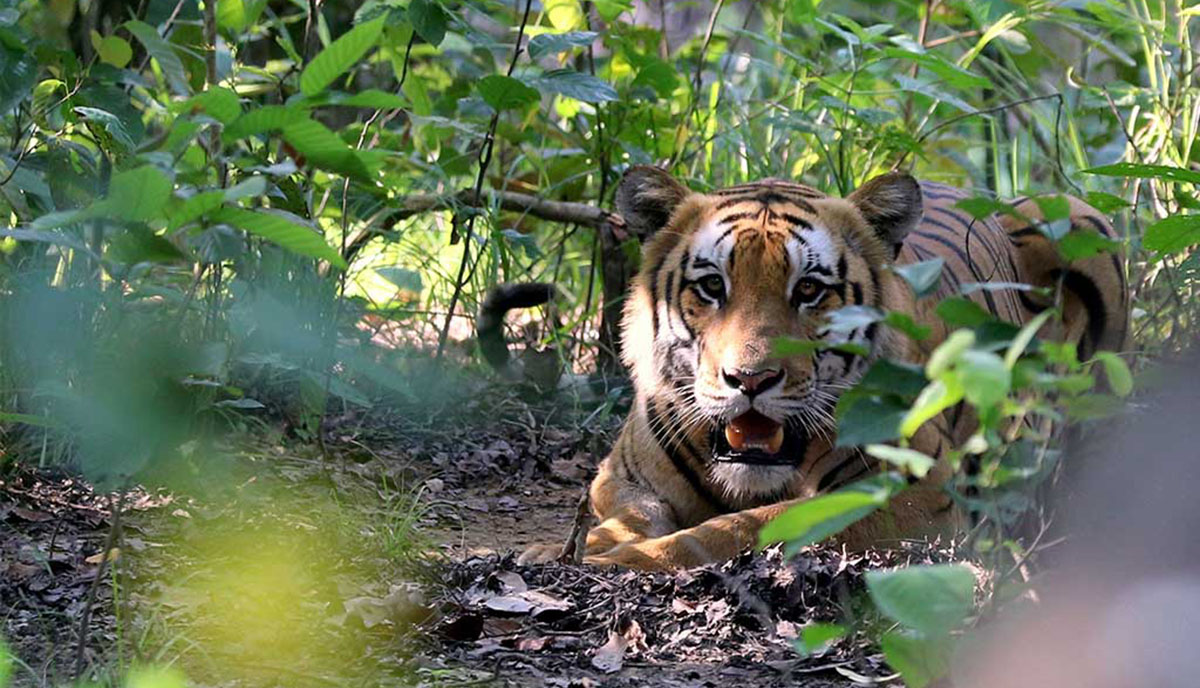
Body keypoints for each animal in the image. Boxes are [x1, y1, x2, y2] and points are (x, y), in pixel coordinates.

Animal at [492, 164, 1128, 569]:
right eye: (711, 286)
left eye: (809, 290)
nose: (750, 380)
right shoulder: (619, 477)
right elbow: (633, 512)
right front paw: (570, 547)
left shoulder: (913, 495)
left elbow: (747, 525)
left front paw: (620, 558)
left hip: (1084, 223)